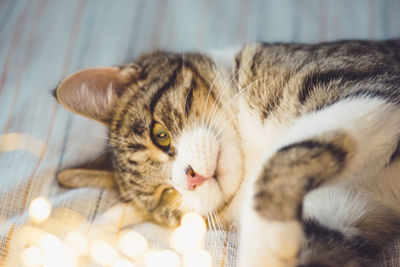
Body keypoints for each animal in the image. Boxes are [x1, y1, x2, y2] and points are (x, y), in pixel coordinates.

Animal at [54, 38, 400, 266]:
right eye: (167, 195)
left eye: (160, 135)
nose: (191, 178)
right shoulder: (345, 209)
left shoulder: (370, 86)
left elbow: (281, 159)